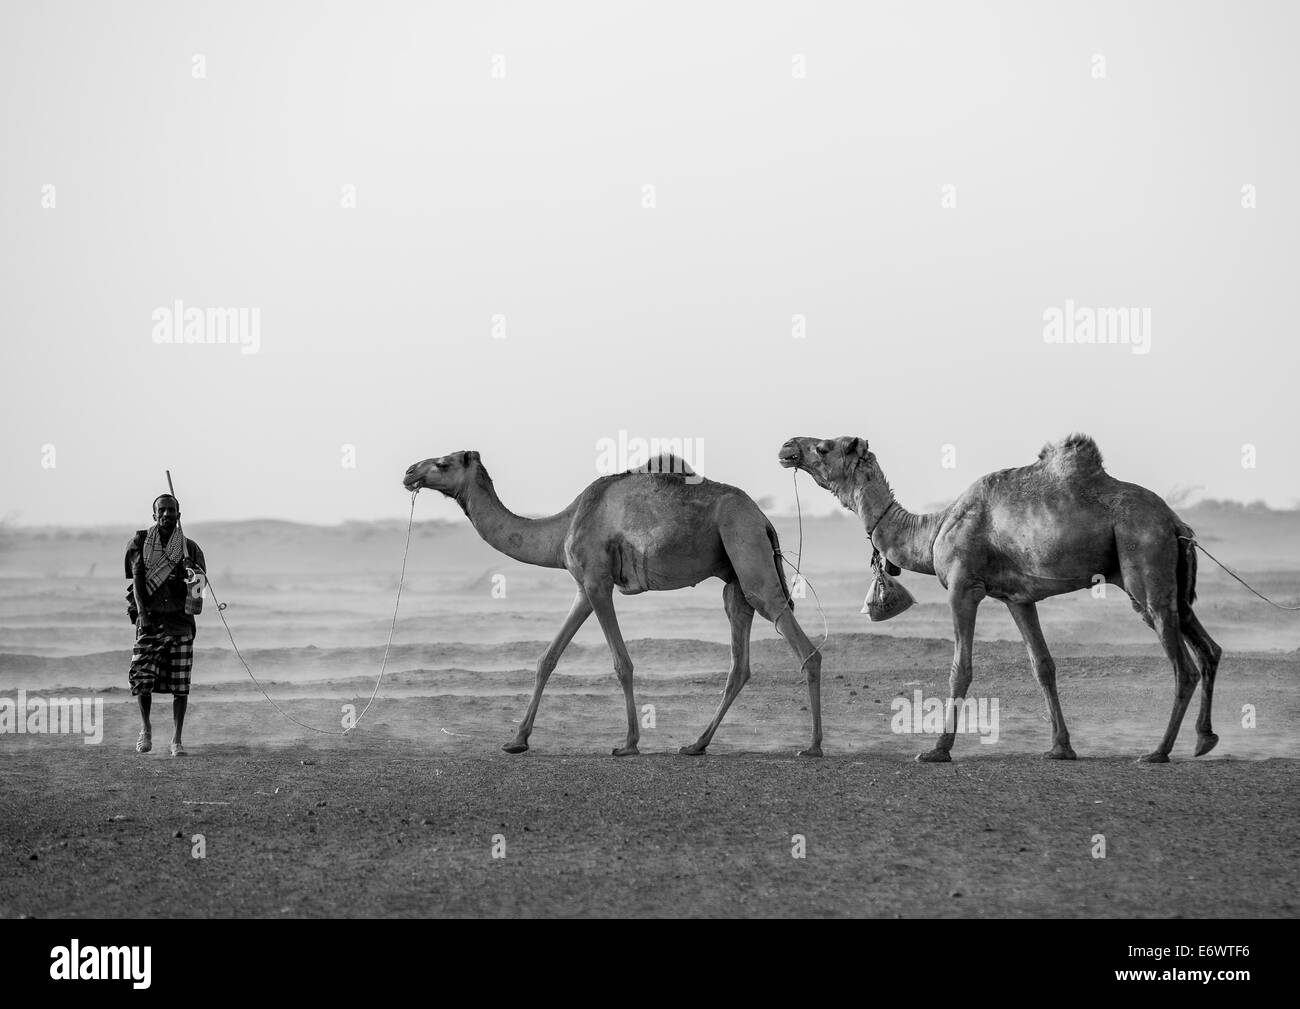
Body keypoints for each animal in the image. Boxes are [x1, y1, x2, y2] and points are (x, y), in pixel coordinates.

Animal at [402, 451, 824, 756]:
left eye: (443, 462)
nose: (408, 473)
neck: (562, 527)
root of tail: (763, 518)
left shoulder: (597, 582)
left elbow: (622, 664)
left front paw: (628, 744)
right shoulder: (583, 588)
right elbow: (547, 659)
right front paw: (516, 741)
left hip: (744, 544)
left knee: (800, 641)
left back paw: (813, 746)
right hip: (734, 577)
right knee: (739, 662)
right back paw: (695, 745)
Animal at [778, 433, 1222, 763]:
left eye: (824, 447)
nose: (787, 447)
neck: (933, 530)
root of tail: (1176, 523)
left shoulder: (964, 586)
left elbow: (960, 668)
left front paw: (937, 750)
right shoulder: (1018, 598)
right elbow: (1043, 665)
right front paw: (1060, 748)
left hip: (1144, 563)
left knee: (1183, 665)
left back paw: (1158, 751)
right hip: (1170, 585)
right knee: (1208, 648)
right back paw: (1205, 739)